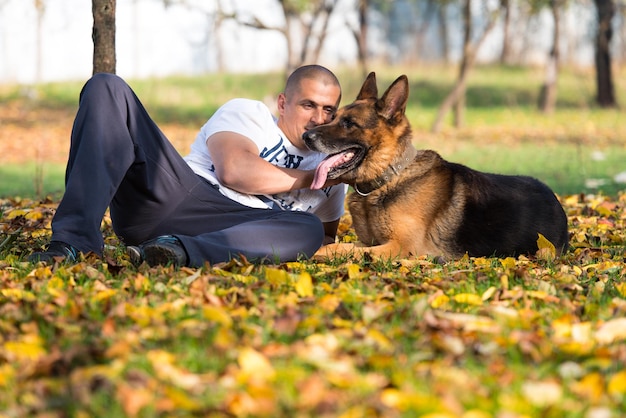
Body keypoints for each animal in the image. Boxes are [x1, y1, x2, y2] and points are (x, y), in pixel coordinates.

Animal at [304, 73, 568, 260]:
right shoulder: (370, 243)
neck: (389, 179)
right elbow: (340, 245)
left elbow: (334, 248)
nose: (307, 136)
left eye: (349, 123)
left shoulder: (399, 247)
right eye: (333, 117)